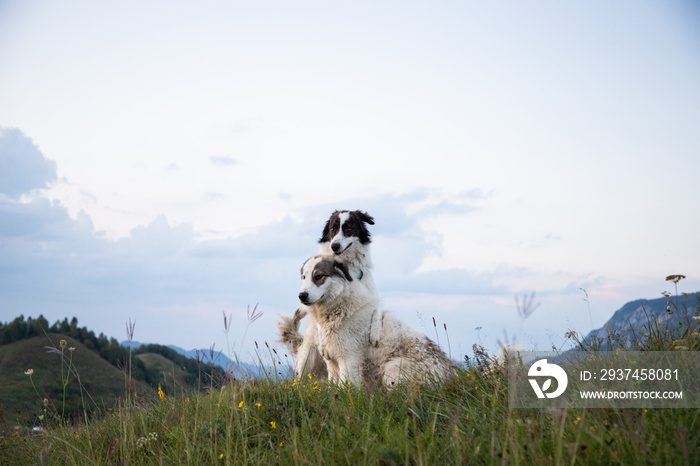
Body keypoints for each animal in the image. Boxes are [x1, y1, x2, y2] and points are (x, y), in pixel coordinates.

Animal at [278, 210, 382, 378]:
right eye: (333, 229)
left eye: (348, 228)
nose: (334, 246)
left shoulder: (371, 293)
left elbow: (377, 308)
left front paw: (375, 333)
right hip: (307, 358)